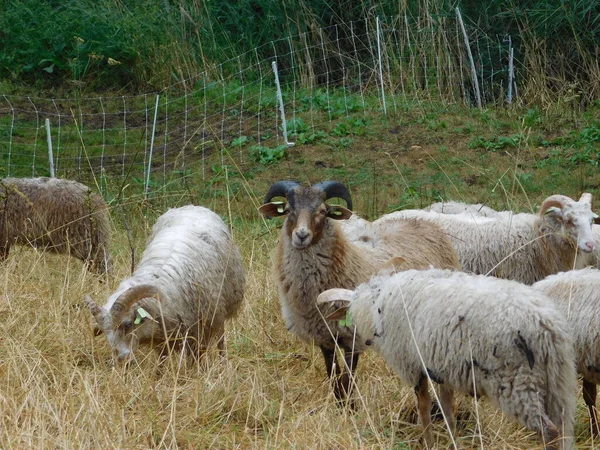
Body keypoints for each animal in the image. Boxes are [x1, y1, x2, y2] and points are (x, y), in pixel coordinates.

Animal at [83, 204, 245, 362]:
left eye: (128, 324)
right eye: (105, 332)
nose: (123, 360)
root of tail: (193, 206)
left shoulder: (199, 333)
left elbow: (195, 361)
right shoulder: (163, 338)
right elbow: (162, 360)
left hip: (221, 308)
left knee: (221, 339)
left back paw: (223, 361)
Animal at [258, 181, 460, 402]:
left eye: (323, 211)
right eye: (287, 210)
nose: (301, 235)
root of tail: (425, 223)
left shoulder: (352, 337)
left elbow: (348, 381)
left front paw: (350, 407)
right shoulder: (325, 339)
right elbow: (334, 380)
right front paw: (340, 406)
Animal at [318, 264, 576, 450]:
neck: (375, 306)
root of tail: (546, 324)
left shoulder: (415, 366)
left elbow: (424, 408)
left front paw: (429, 443)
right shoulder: (443, 368)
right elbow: (447, 410)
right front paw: (454, 442)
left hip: (518, 382)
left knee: (550, 432)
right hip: (558, 383)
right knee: (562, 429)